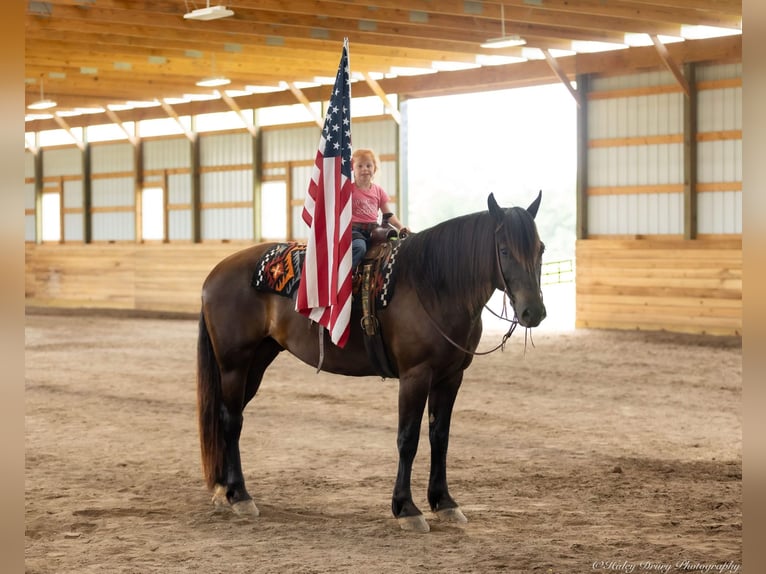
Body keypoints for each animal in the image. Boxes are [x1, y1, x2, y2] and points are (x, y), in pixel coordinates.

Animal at [196, 191, 544, 532]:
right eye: (504, 250)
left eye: (540, 249)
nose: (533, 312)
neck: (432, 286)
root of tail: (216, 273)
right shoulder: (416, 376)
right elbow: (408, 439)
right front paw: (406, 508)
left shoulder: (451, 377)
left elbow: (440, 437)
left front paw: (444, 502)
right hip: (234, 364)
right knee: (231, 419)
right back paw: (240, 495)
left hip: (256, 361)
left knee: (228, 417)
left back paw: (225, 490)